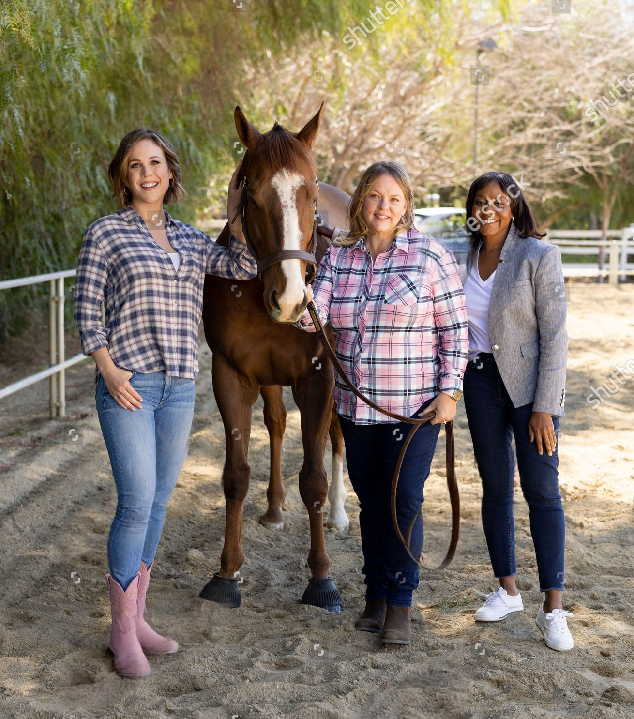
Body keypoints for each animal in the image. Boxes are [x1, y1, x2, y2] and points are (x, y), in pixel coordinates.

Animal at [200, 105, 350, 612]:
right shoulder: (231, 375)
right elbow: (236, 475)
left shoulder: (321, 379)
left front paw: (321, 578)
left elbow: (314, 479)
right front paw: (227, 572)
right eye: (252, 191)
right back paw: (274, 507)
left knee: (336, 439)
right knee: (279, 424)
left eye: (310, 191)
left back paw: (339, 514)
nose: (290, 299)